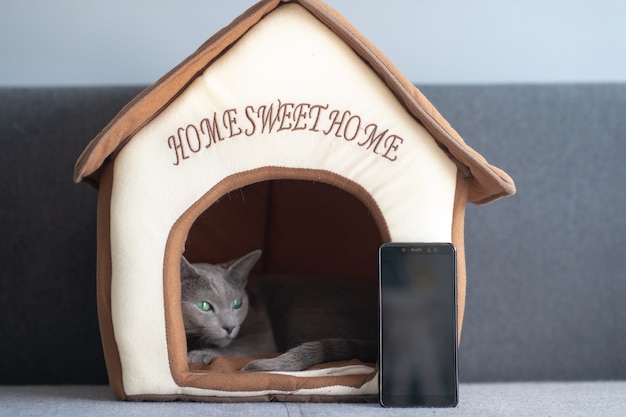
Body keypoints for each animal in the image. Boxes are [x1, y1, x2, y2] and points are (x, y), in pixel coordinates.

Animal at [180, 249, 376, 372]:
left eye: (237, 303)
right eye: (204, 306)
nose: (230, 327)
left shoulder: (262, 334)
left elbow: (236, 347)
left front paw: (200, 354)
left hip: (296, 309)